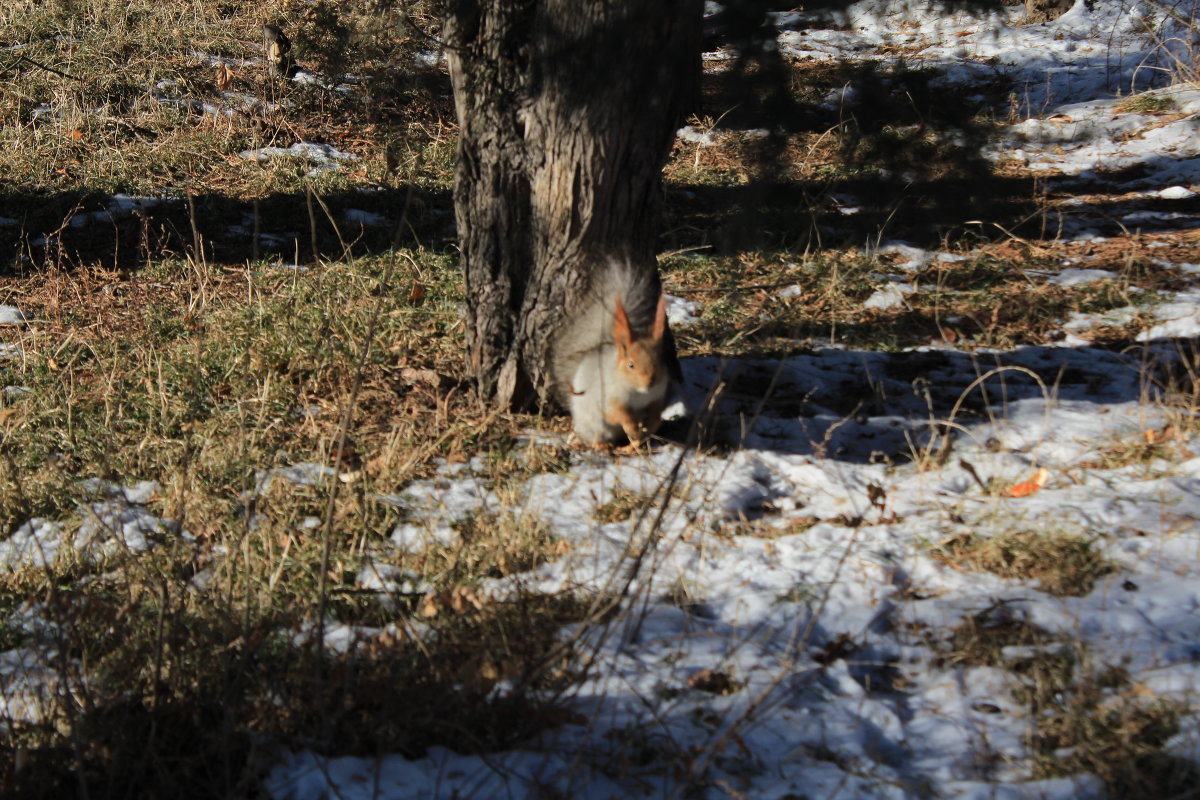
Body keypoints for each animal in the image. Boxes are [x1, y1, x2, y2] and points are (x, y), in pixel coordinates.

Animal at [552, 262, 676, 450]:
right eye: (630, 364)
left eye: (661, 360)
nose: (650, 382)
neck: (638, 392)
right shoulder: (607, 397)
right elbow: (619, 414)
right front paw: (632, 426)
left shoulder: (657, 395)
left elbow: (656, 414)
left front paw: (649, 425)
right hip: (593, 424)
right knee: (595, 437)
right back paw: (602, 445)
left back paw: (630, 446)